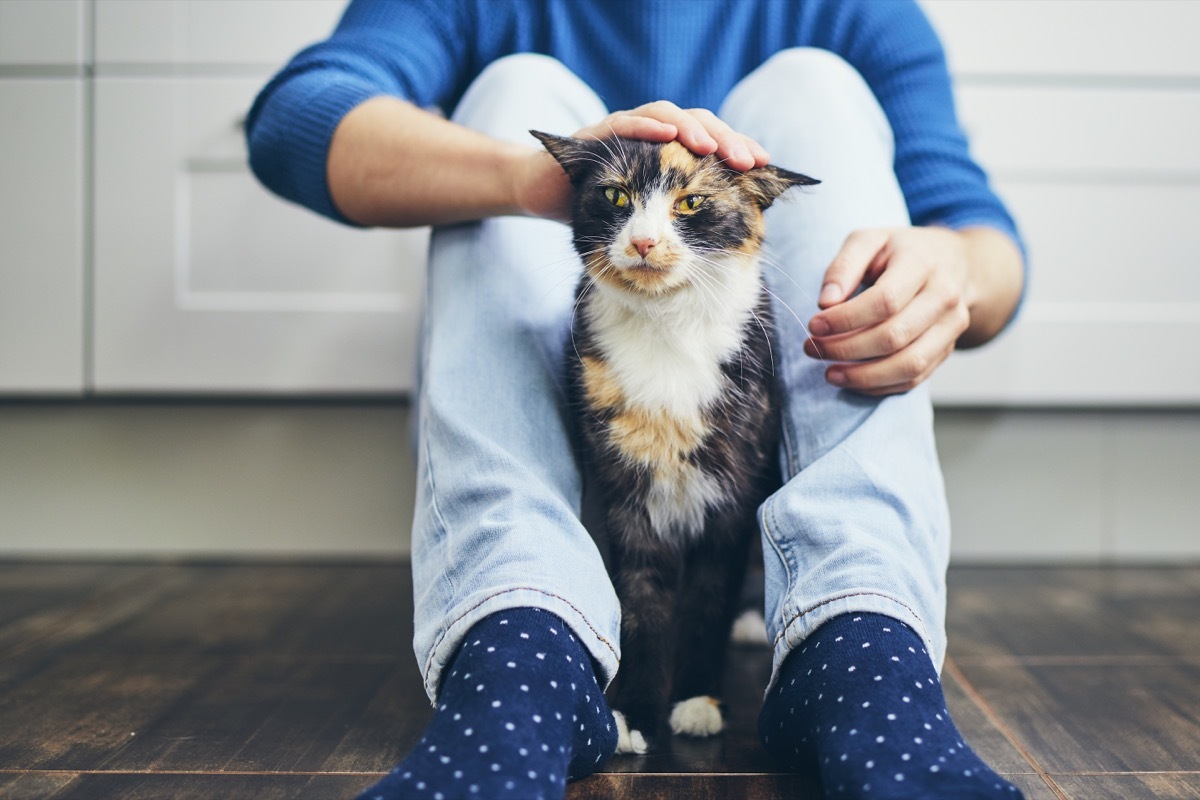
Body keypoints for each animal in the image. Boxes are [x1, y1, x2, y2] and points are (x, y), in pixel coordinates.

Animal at [532, 128, 816, 753]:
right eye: (615, 195)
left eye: (690, 202)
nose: (643, 241)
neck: (666, 331)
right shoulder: (625, 498)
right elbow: (643, 607)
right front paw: (637, 714)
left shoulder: (732, 495)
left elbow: (708, 603)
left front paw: (697, 702)